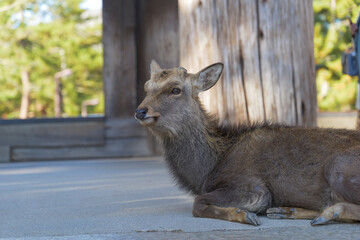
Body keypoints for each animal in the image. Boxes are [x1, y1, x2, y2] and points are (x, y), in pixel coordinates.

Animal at [134, 61, 360, 226]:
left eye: (175, 89)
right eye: (146, 88)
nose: (140, 111)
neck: (208, 170)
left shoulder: (253, 187)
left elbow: (197, 203)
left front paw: (243, 214)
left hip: (338, 169)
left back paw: (329, 212)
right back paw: (287, 211)